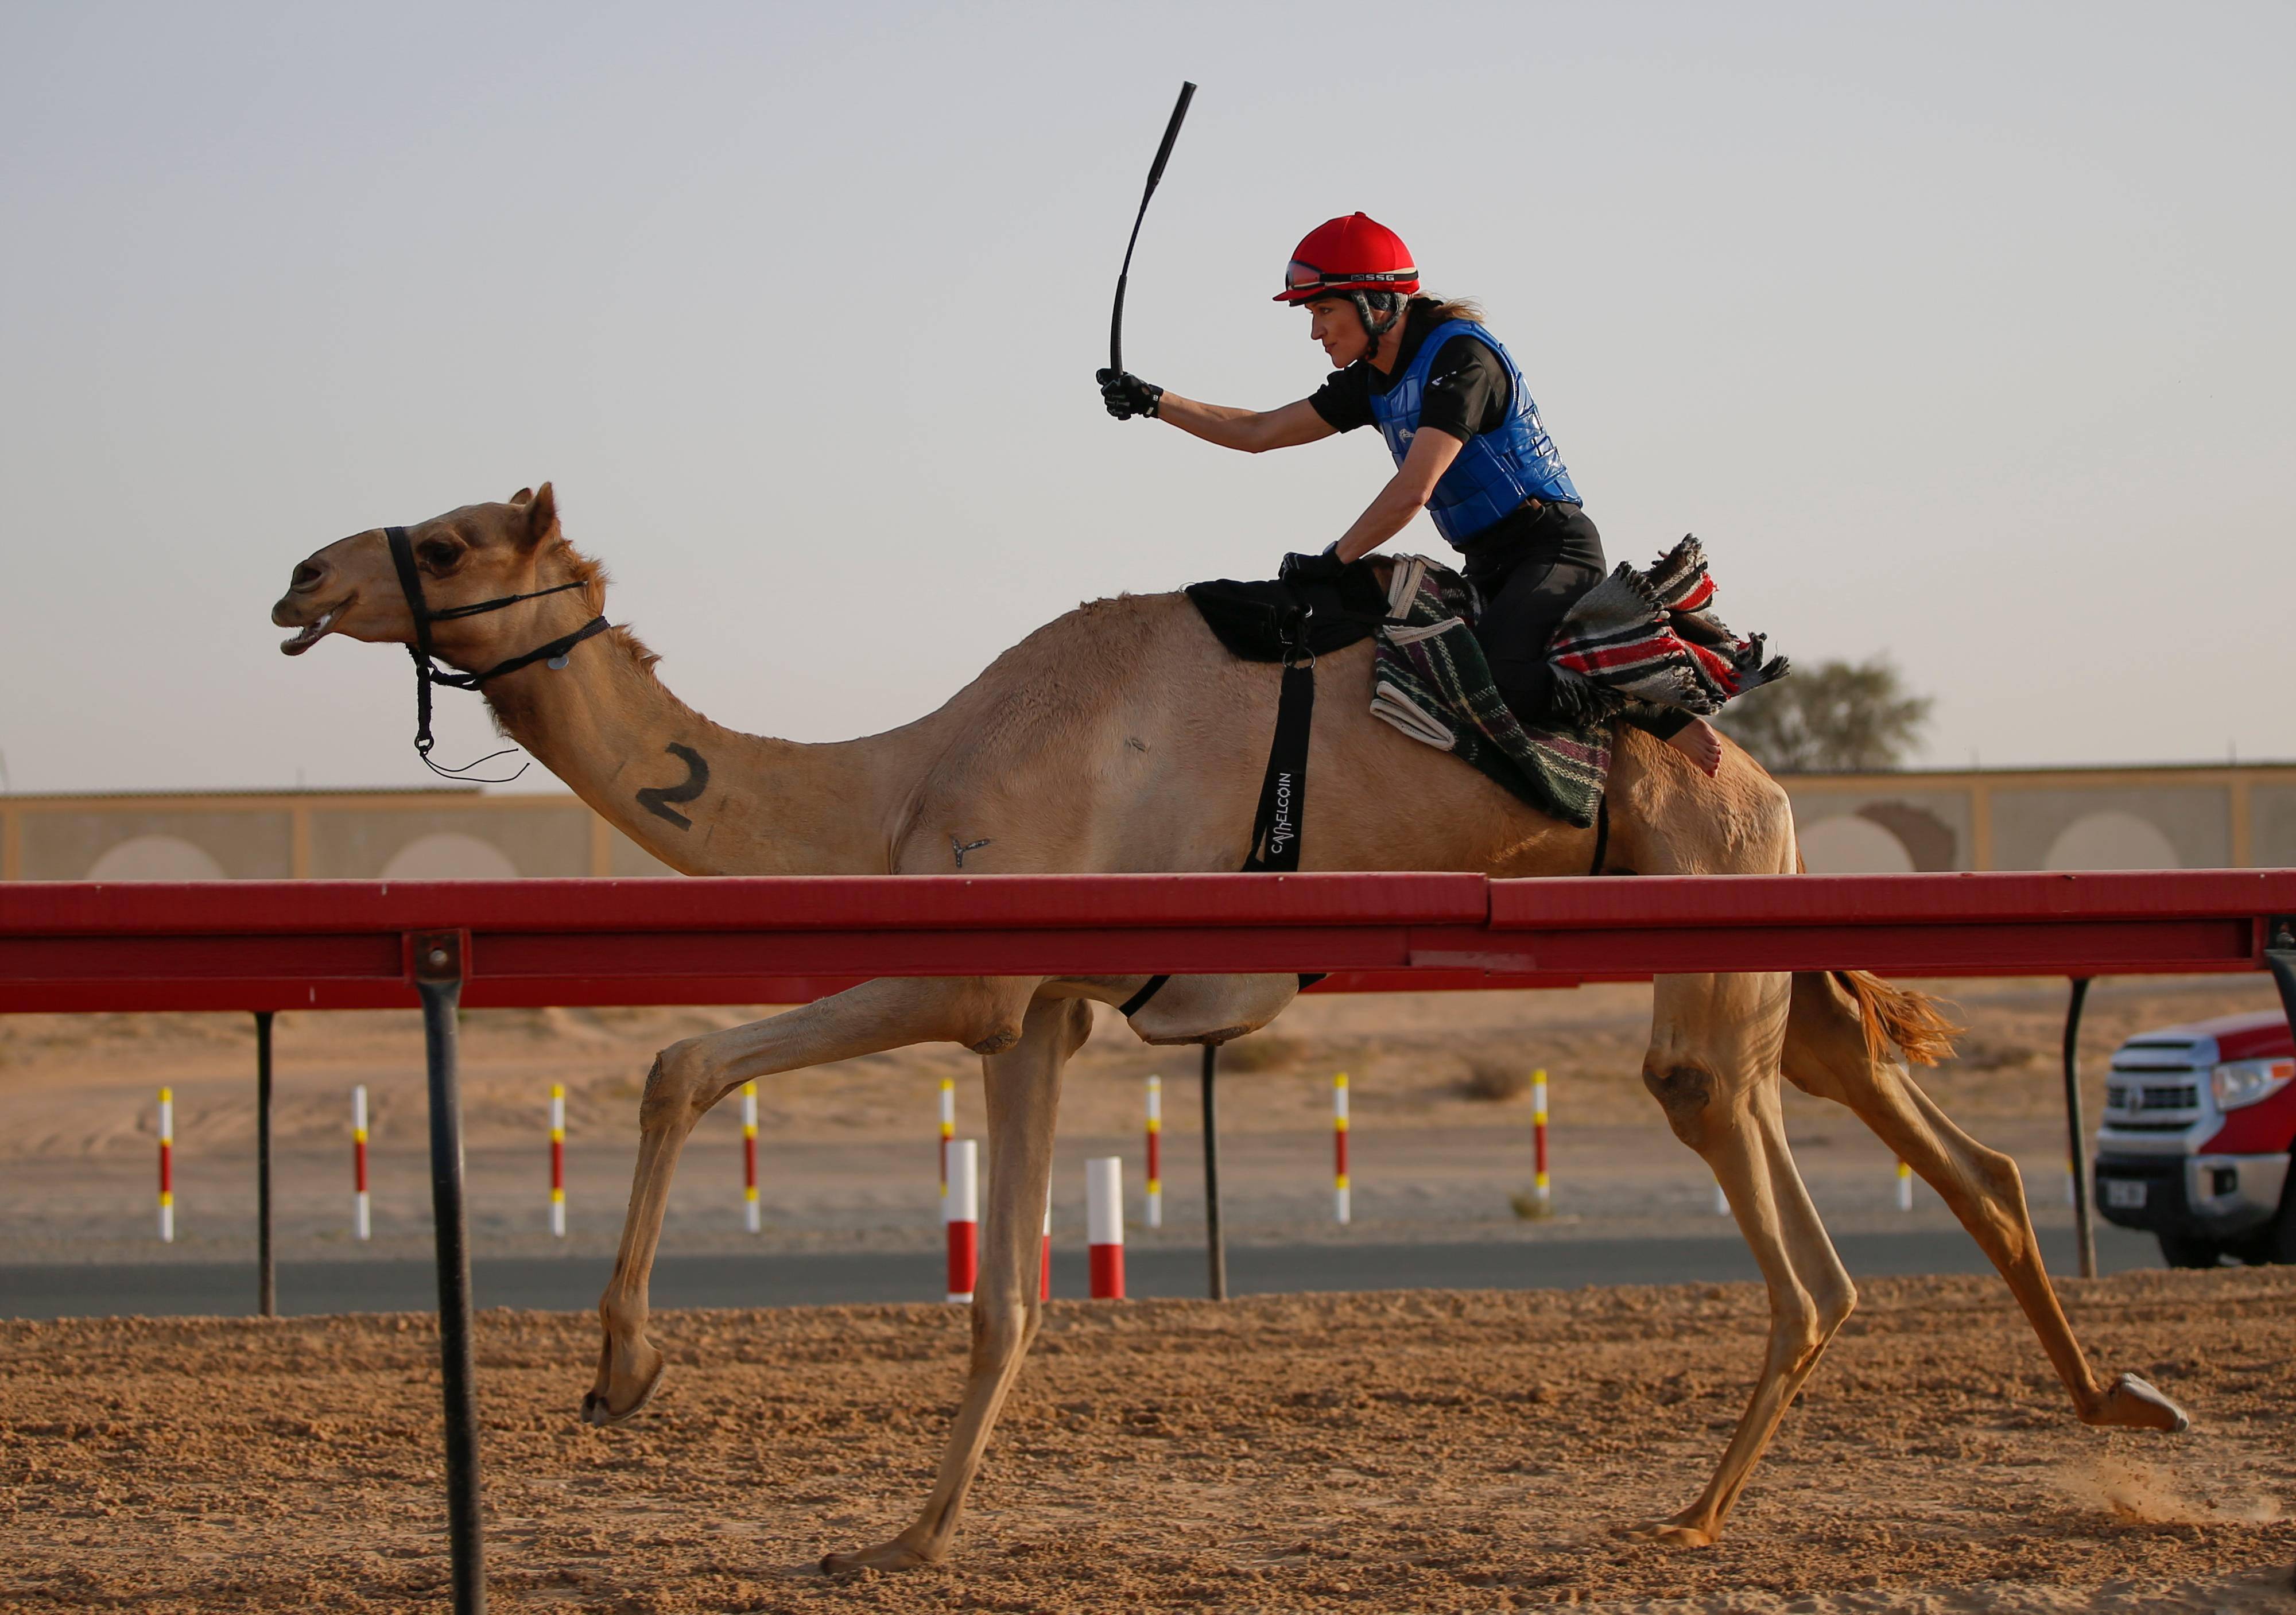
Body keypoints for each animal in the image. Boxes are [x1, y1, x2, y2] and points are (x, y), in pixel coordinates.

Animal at [273, 486, 2186, 1569]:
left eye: (440, 543)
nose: (296, 578)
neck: (897, 779)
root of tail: (1747, 751)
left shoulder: (973, 975)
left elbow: (682, 1062)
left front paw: (626, 1373)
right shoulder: (1041, 1013)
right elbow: (1006, 1293)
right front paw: (903, 1532)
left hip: (1702, 919)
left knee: (1782, 1215)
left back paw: (1700, 1516)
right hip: (1759, 934)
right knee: (1936, 1135)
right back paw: (2122, 1402)